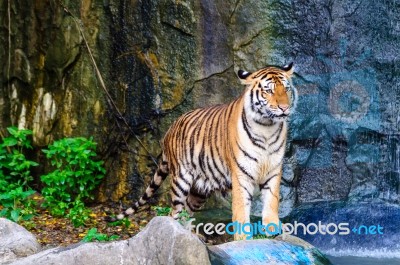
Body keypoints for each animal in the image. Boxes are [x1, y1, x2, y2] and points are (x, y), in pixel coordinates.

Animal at [111, 62, 296, 239]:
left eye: (286, 89)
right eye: (268, 91)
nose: (284, 108)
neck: (267, 127)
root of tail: (170, 129)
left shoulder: (273, 170)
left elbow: (271, 201)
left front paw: (273, 231)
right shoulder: (241, 174)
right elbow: (241, 210)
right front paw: (243, 239)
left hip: (199, 191)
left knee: (187, 213)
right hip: (181, 181)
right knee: (174, 213)